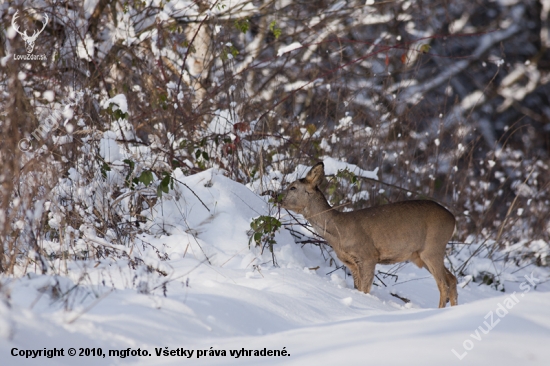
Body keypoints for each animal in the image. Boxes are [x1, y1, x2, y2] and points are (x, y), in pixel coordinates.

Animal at [282, 163, 460, 308]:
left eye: (293, 187)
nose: (278, 198)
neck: (338, 232)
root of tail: (453, 219)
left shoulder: (368, 255)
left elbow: (365, 290)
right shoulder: (351, 262)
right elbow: (358, 288)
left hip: (432, 247)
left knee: (443, 284)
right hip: (423, 254)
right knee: (452, 279)